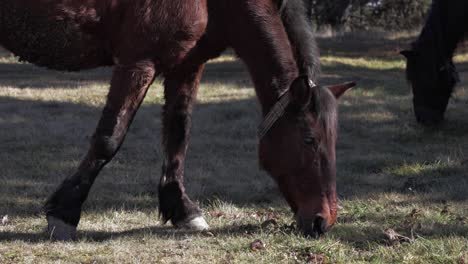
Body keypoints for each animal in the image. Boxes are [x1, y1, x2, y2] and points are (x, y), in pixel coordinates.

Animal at [0, 0, 352, 240]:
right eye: (309, 139)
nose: (323, 220)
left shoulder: (188, 66)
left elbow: (178, 134)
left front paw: (183, 209)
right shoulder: (138, 62)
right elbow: (109, 138)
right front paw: (65, 214)